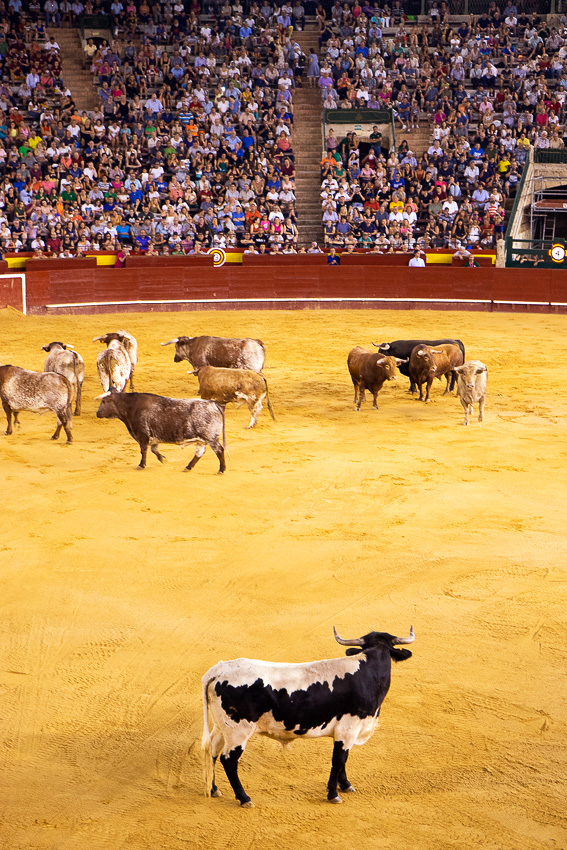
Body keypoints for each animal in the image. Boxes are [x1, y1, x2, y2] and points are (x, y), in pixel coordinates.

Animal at [202, 628, 414, 804]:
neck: (367, 674)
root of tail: (218, 670)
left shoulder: (346, 732)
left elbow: (343, 760)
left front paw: (345, 785)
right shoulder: (348, 729)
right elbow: (339, 759)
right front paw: (333, 794)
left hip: (221, 727)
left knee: (212, 750)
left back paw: (213, 789)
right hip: (238, 731)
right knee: (229, 760)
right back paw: (244, 798)